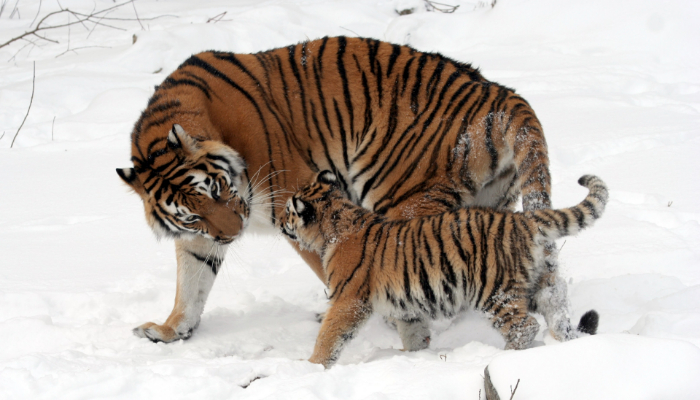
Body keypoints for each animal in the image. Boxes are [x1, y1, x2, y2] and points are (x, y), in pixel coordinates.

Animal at [117, 36, 572, 350]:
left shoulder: (294, 199)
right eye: (191, 214)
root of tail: (500, 94)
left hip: (404, 198)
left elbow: (333, 266)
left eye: (215, 187)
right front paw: (170, 330)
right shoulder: (200, 236)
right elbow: (191, 282)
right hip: (489, 205)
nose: (234, 233)